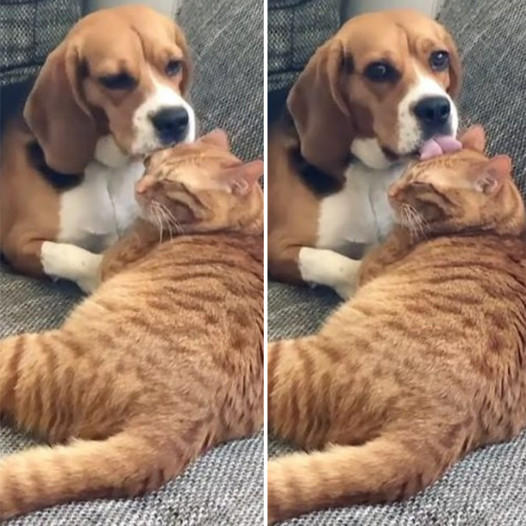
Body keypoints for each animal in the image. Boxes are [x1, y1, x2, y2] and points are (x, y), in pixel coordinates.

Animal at [0, 4, 196, 292]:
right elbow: (74, 255)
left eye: (174, 65)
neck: (110, 170)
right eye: (115, 80)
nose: (174, 120)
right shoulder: (19, 241)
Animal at [0, 131, 264, 520]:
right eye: (149, 165)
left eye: (171, 183)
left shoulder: (105, 265)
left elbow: (75, 257)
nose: (138, 188)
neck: (245, 227)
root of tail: (175, 424)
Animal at [270, 8, 464, 300]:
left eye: (439, 58)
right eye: (379, 70)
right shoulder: (275, 246)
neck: (371, 174)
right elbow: (330, 260)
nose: (436, 109)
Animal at [270, 126, 526, 524]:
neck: (500, 229)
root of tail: (438, 427)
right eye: (409, 171)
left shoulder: (365, 269)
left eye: (421, 184)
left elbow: (334, 262)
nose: (390, 192)